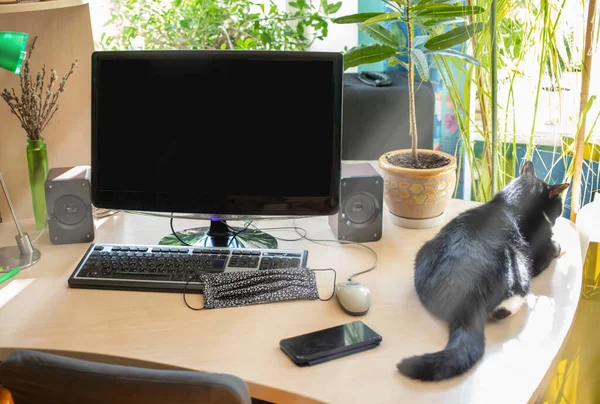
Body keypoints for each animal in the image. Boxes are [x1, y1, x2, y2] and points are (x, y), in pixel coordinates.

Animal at [396, 162, 568, 382]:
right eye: (559, 204)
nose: (560, 211)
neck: (510, 205)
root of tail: (466, 298)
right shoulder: (538, 252)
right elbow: (553, 247)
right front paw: (558, 245)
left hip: (423, 253)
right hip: (519, 263)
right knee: (508, 305)